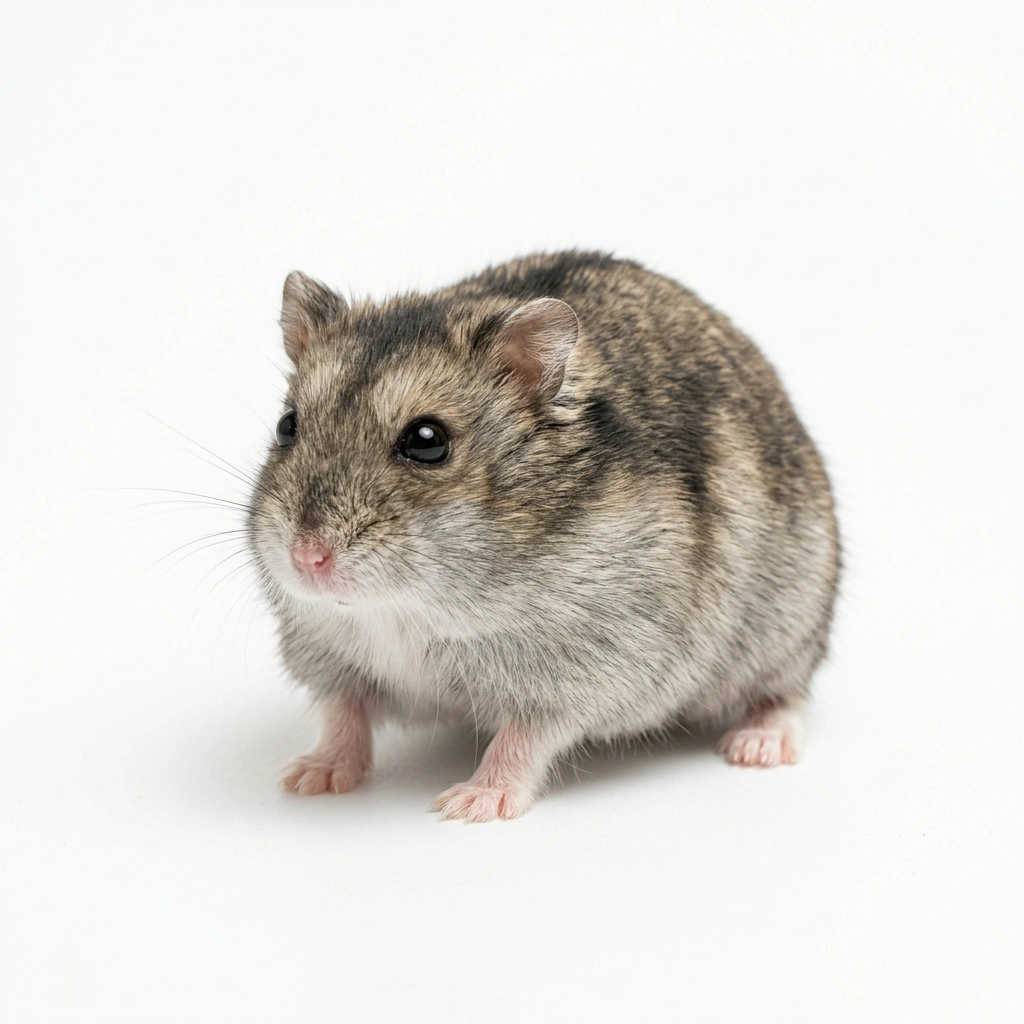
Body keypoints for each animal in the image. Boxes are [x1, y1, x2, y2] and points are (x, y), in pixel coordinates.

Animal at [248, 251, 840, 822]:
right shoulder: (326, 651)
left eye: (427, 441)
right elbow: (343, 714)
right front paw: (309, 778)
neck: (404, 609)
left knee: (785, 693)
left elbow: (522, 739)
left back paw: (757, 746)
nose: (307, 560)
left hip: (789, 623)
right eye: (286, 425)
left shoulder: (582, 671)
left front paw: (470, 805)